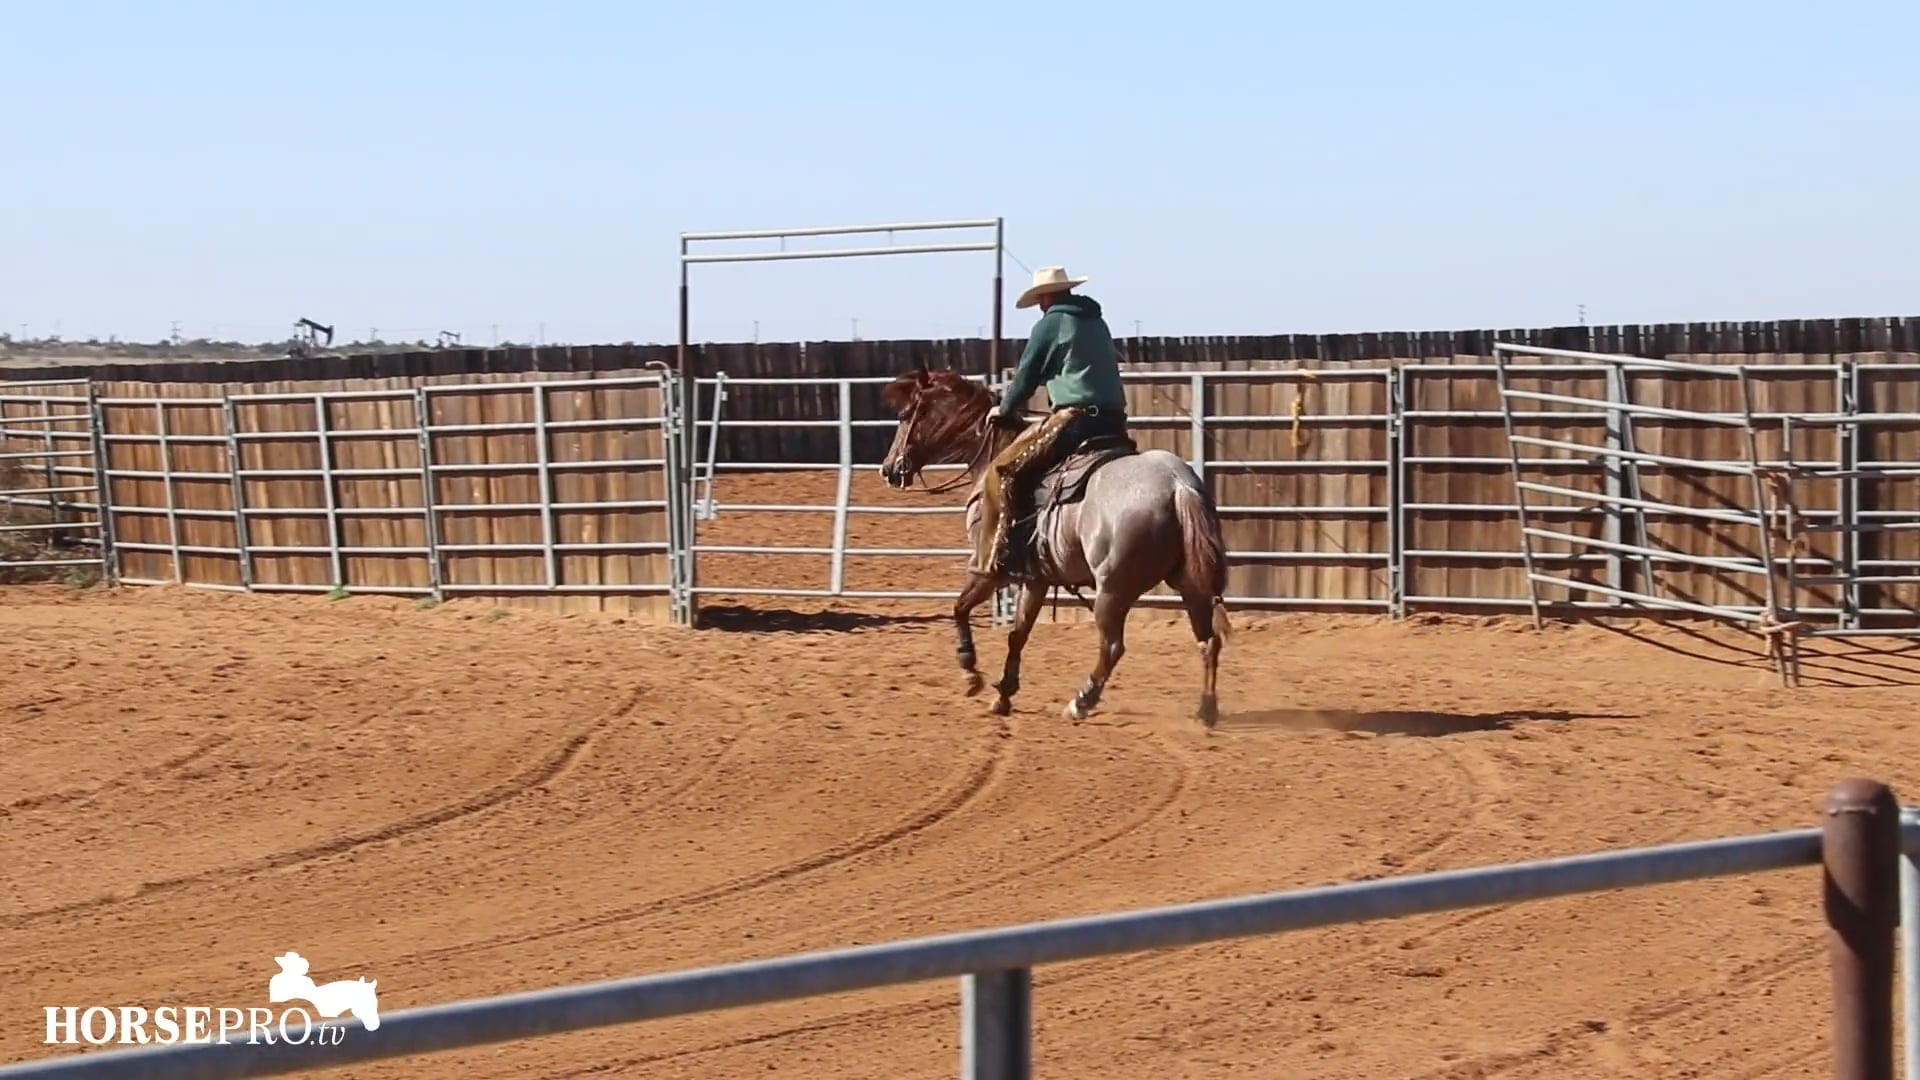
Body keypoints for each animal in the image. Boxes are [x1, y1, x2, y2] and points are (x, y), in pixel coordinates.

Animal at [878, 367, 1232, 726]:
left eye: (906, 414)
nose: (889, 469)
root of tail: (1177, 484)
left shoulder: (988, 570)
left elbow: (960, 609)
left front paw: (970, 674)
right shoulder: (1037, 579)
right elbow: (1018, 633)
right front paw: (1003, 694)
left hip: (1112, 592)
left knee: (1112, 647)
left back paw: (1081, 702)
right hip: (1190, 584)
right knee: (1208, 641)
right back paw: (1207, 707)